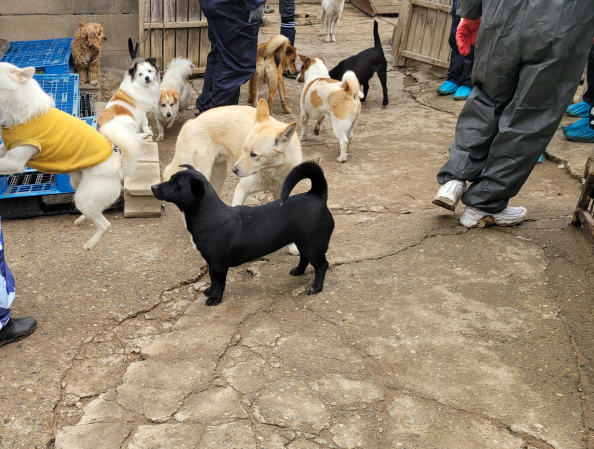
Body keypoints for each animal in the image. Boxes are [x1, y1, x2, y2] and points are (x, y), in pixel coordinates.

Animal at [0, 63, 139, 250]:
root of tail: (118, 166)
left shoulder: (14, 161)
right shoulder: (6, 150)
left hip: (83, 199)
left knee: (104, 224)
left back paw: (90, 243)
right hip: (78, 186)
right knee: (97, 211)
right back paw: (82, 219)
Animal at [151, 161, 332, 304]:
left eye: (176, 184)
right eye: (171, 179)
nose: (153, 186)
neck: (209, 215)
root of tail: (316, 195)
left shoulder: (218, 264)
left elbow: (218, 282)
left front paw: (215, 298)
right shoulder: (212, 263)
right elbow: (212, 279)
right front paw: (210, 292)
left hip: (313, 245)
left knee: (322, 266)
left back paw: (316, 287)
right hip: (304, 242)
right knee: (304, 258)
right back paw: (298, 271)